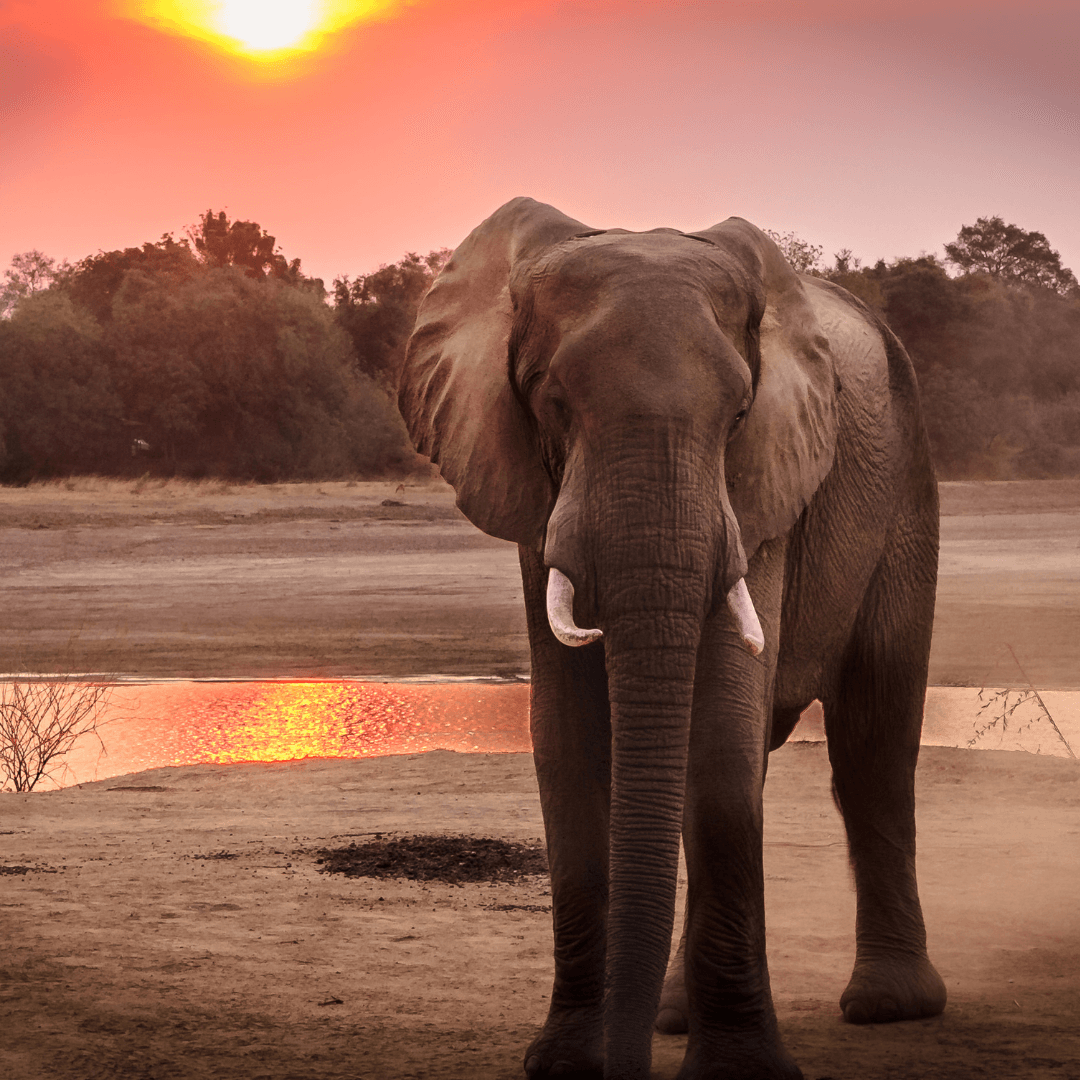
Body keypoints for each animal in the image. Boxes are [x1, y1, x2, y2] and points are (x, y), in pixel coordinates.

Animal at [397, 197, 946, 1080]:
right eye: (551, 402)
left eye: (739, 415)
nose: (620, 1066)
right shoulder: (534, 498)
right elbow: (569, 740)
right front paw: (567, 1063)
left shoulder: (762, 489)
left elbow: (719, 737)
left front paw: (739, 1072)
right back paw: (674, 1015)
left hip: (906, 485)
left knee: (874, 743)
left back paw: (888, 1007)